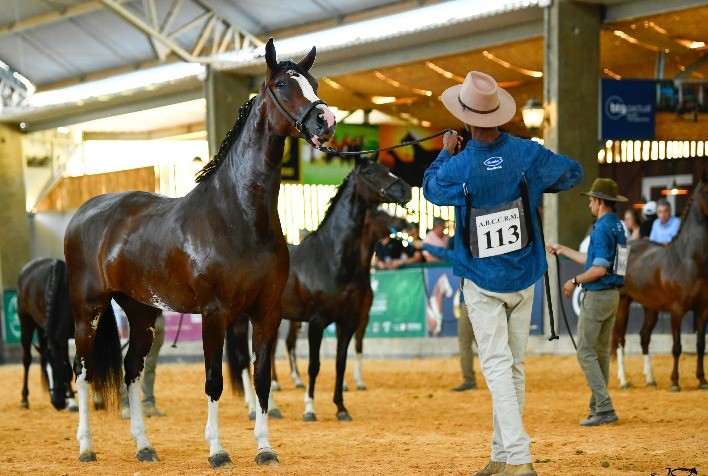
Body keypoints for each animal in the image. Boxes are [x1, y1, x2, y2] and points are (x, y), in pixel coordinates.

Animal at [17, 258, 77, 411]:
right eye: (46, 370)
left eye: (58, 370)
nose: (57, 402)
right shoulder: (61, 338)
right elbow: (69, 366)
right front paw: (72, 399)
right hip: (26, 325)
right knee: (27, 359)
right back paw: (24, 399)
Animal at [63, 38, 336, 467]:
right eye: (282, 84)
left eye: (314, 83)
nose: (327, 120)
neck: (238, 215)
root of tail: (85, 213)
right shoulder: (215, 313)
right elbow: (213, 380)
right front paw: (218, 450)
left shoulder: (267, 312)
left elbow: (261, 379)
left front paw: (265, 448)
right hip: (87, 308)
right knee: (83, 370)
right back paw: (87, 447)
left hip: (142, 312)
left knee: (131, 368)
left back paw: (144, 446)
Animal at [271, 208, 411, 392]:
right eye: (381, 213)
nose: (405, 222)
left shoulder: (360, 316)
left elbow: (355, 347)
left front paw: (357, 382)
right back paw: (275, 383)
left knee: (289, 342)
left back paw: (297, 380)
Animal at [611, 172, 707, 391]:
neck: (688, 259)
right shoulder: (677, 310)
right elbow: (677, 346)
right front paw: (675, 382)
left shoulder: (702, 310)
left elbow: (700, 345)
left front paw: (702, 380)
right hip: (623, 303)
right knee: (620, 338)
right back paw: (624, 380)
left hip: (650, 307)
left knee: (644, 337)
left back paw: (650, 379)